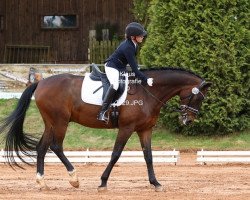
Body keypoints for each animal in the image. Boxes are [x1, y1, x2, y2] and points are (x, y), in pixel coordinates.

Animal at [0, 67, 211, 192]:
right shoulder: (126, 128)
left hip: (51, 122)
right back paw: (74, 178)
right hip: (60, 122)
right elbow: (116, 154)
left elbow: (149, 156)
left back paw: (42, 182)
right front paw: (102, 182)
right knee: (56, 146)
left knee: (42, 148)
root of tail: (40, 82)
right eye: (198, 98)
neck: (149, 92)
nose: (188, 120)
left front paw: (156, 183)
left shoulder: (145, 130)